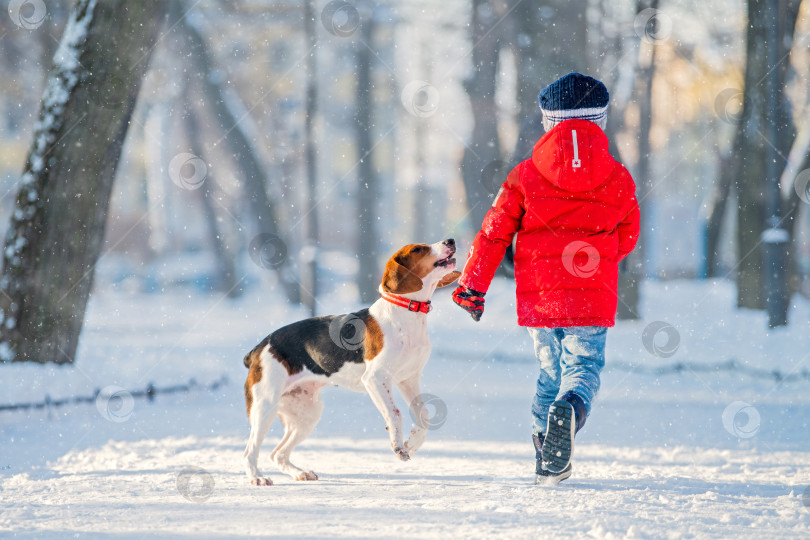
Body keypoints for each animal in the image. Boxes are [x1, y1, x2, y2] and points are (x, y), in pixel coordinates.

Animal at [241, 238, 460, 484]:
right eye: (418, 249)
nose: (450, 240)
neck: (406, 312)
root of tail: (258, 348)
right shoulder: (375, 379)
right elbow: (395, 414)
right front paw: (398, 446)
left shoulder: (408, 380)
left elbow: (424, 416)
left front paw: (411, 444)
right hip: (264, 406)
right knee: (250, 451)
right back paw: (257, 477)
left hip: (307, 414)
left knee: (277, 453)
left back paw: (300, 473)